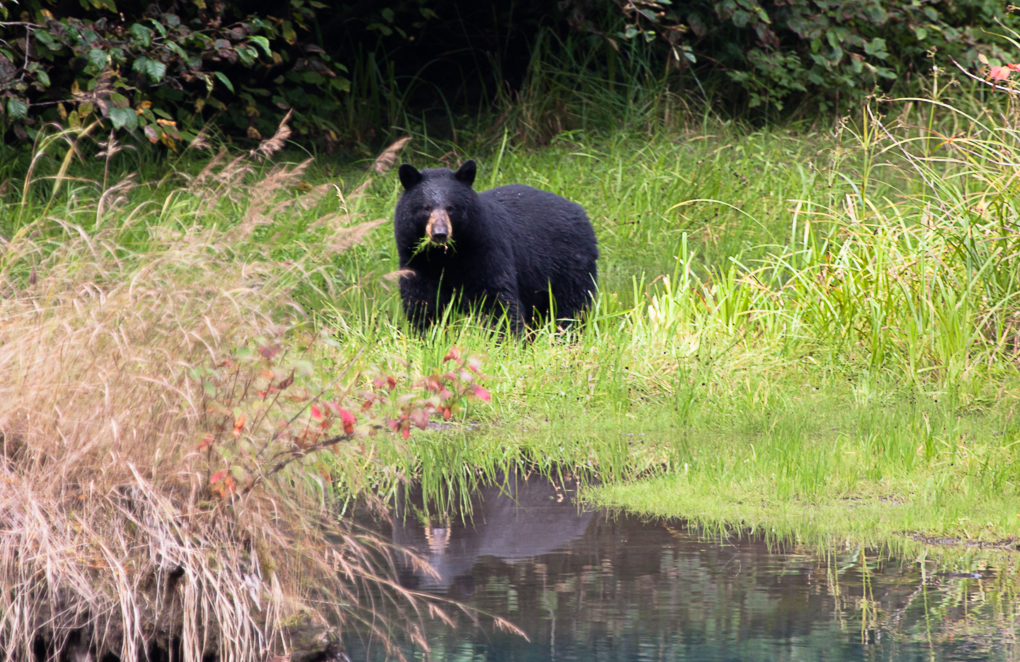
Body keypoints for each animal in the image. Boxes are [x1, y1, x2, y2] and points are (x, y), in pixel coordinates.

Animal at [389, 161, 595, 336]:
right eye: (426, 208)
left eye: (451, 208)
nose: (440, 234)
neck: (445, 256)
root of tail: (580, 211)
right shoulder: (417, 259)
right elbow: (422, 298)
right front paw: (425, 334)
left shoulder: (485, 250)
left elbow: (494, 297)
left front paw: (505, 339)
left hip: (569, 264)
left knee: (572, 305)